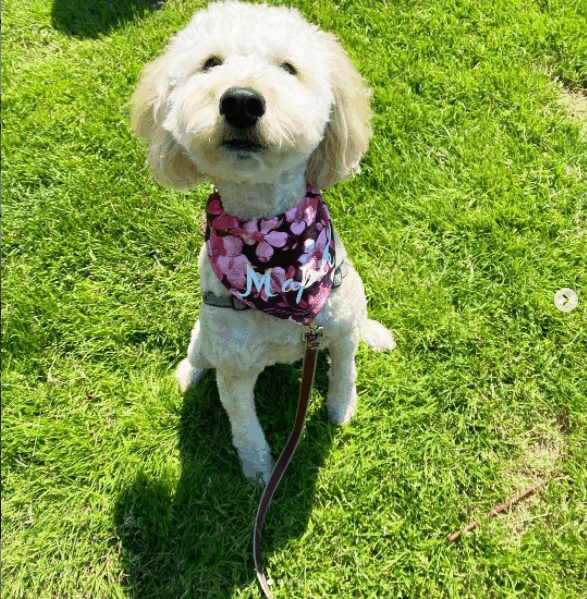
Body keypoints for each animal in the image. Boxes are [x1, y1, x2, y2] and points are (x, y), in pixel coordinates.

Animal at [131, 0, 398, 486]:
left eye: (289, 68)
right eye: (210, 63)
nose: (240, 99)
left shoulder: (337, 326)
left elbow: (344, 371)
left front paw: (341, 408)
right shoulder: (235, 371)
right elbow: (244, 425)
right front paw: (259, 470)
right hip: (207, 338)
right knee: (198, 351)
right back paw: (187, 374)